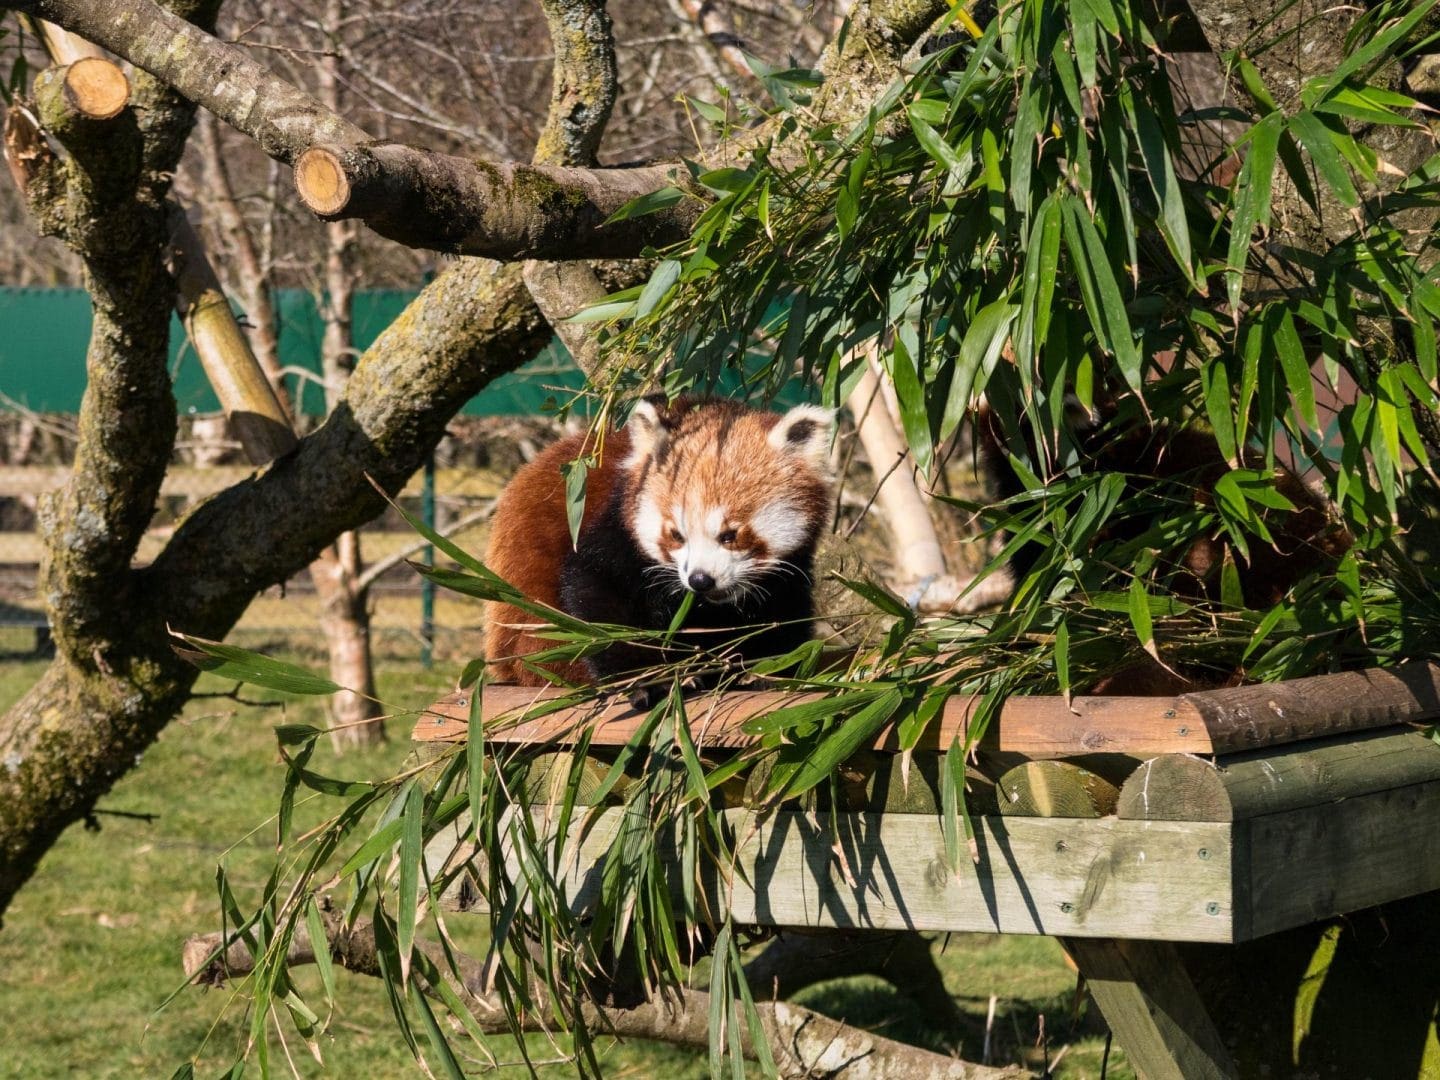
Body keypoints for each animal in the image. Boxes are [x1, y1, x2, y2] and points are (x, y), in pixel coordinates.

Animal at [483, 400, 835, 702]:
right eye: (677, 534)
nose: (700, 579)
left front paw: (768, 668)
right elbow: (598, 595)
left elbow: (782, 612)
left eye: (729, 535)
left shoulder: (789, 571)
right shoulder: (614, 534)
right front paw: (646, 679)